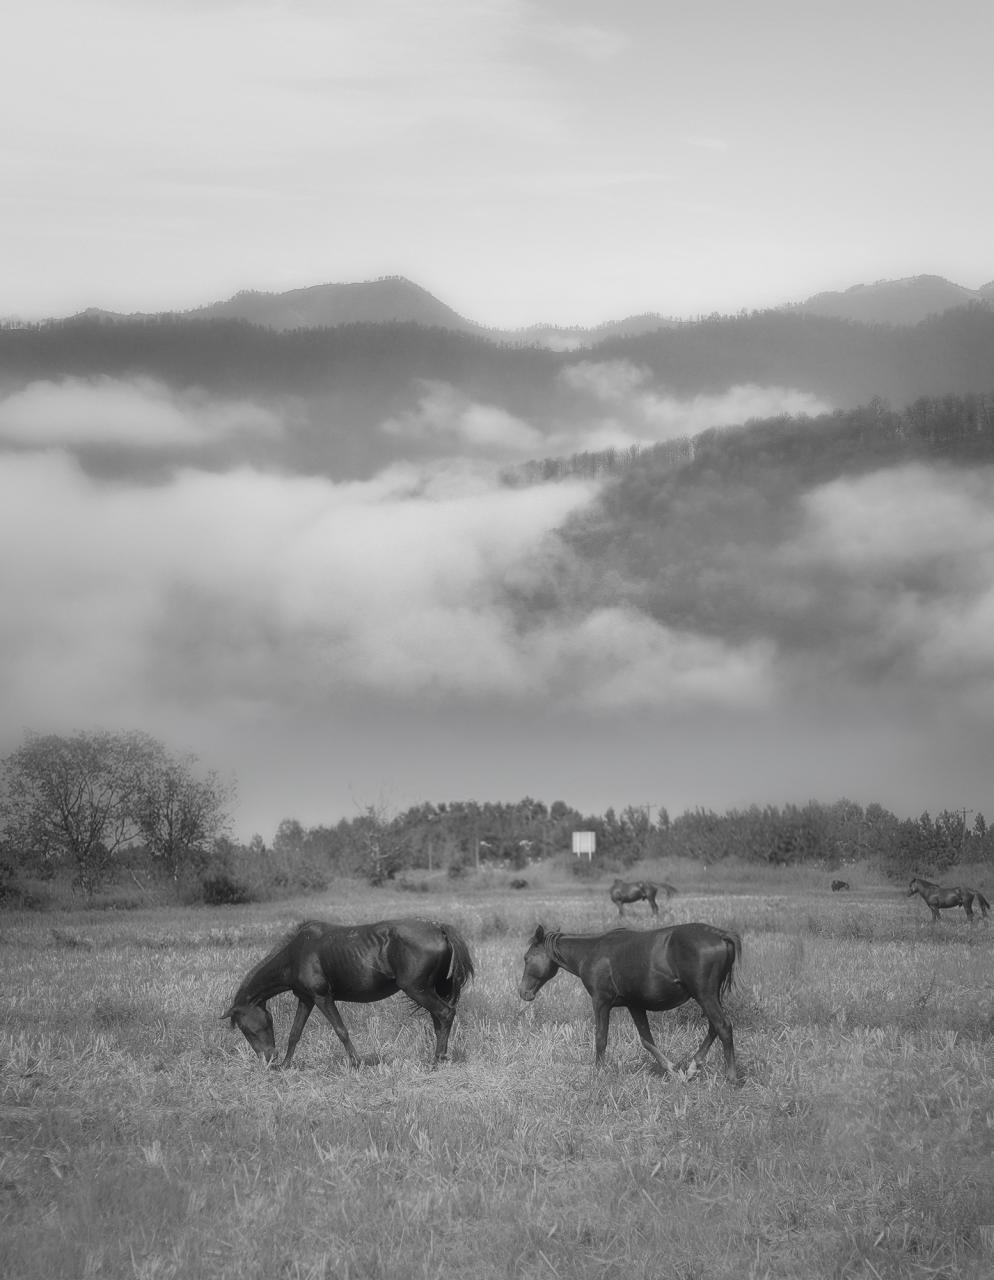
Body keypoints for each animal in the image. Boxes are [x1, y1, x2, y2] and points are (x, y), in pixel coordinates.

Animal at [221, 921, 473, 1070]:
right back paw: (439, 1056)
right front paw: (286, 1065)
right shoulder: (306, 998)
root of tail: (439, 929)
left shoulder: (322, 997)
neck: (296, 952)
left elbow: (341, 1030)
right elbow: (295, 1033)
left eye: (246, 1029)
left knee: (445, 1013)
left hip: (418, 990)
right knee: (439, 1020)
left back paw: (437, 1061)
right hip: (431, 990)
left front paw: (356, 1063)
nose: (269, 1059)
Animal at [519, 926, 736, 1085]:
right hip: (710, 997)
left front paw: (598, 1073)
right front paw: (674, 1071)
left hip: (705, 996)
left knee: (723, 1027)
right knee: (714, 1028)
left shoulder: (601, 1002)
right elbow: (647, 1040)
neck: (592, 952)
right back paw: (692, 1068)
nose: (523, 992)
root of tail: (720, 936)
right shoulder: (635, 1005)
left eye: (526, 958)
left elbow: (601, 1038)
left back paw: (731, 1077)